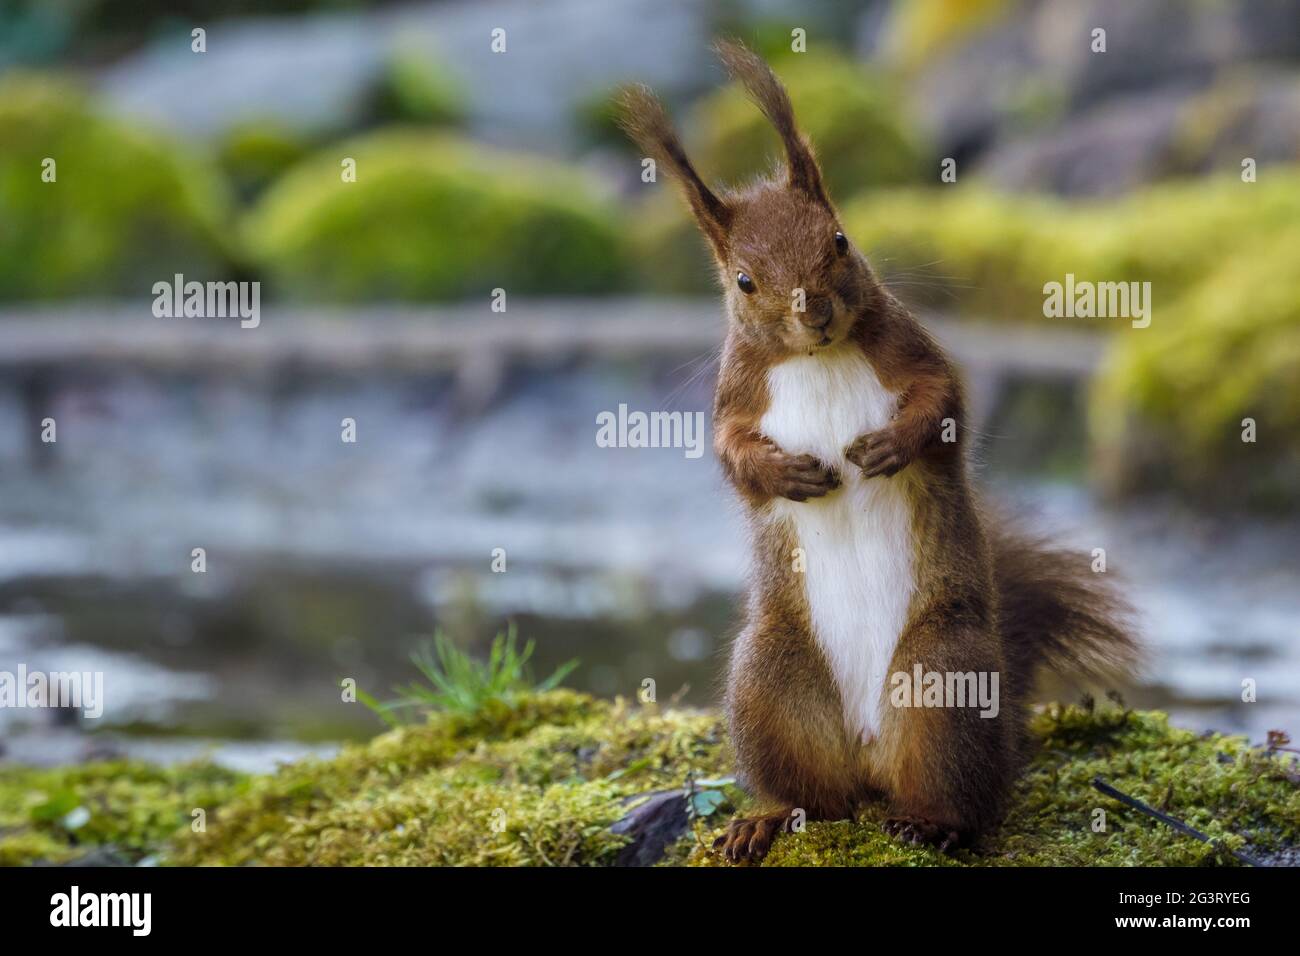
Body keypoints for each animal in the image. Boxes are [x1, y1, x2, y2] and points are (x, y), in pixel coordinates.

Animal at [620, 41, 1139, 863]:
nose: (818, 315)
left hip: (943, 676)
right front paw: (788, 473)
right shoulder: (736, 397)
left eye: (839, 239)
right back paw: (769, 818)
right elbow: (733, 457)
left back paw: (934, 823)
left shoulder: (915, 353)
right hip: (770, 681)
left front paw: (888, 447)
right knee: (819, 799)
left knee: (954, 789)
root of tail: (869, 753)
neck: (820, 358)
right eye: (744, 280)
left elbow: (944, 406)